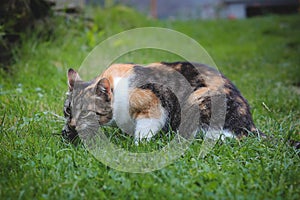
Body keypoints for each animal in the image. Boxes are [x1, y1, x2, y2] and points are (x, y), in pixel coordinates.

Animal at [62, 61, 264, 144]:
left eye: (86, 112)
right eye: (68, 111)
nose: (72, 125)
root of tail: (250, 125)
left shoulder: (154, 104)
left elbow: (145, 129)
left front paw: (138, 145)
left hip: (197, 99)